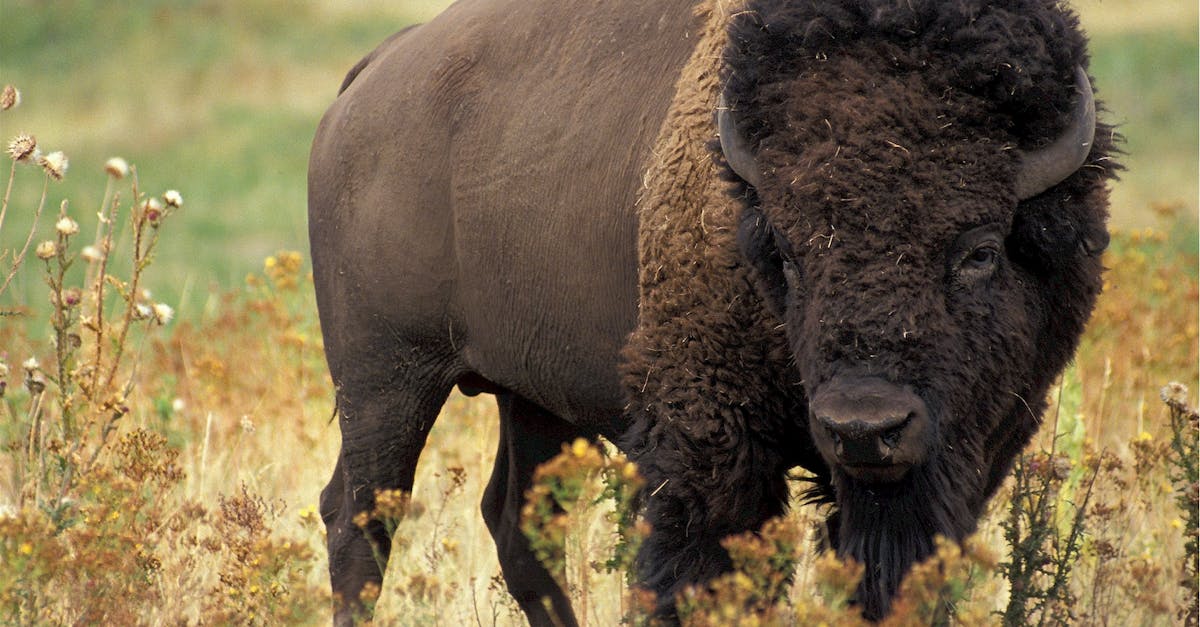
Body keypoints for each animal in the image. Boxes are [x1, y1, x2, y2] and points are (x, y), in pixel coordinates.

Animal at [307, 0, 1116, 624]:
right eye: (785, 253)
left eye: (980, 250)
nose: (864, 426)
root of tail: (371, 76)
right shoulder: (708, 445)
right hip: (387, 377)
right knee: (359, 519)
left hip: (530, 397)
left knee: (517, 526)